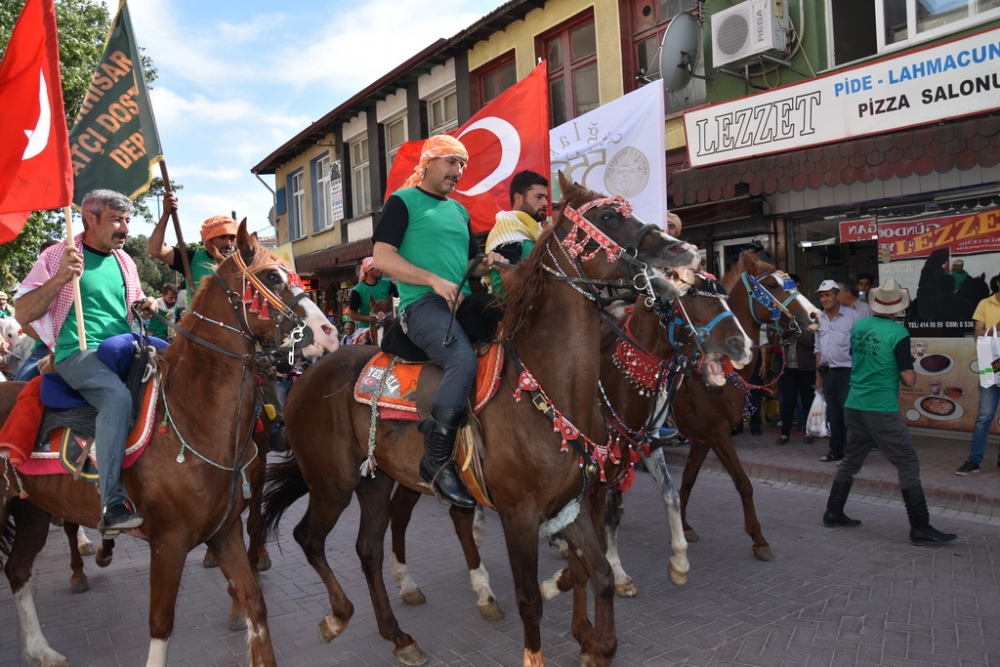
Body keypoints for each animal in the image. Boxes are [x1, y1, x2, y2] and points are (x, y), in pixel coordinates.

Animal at [0, 224, 340, 667]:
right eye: (271, 277)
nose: (331, 332)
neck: (192, 416)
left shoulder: (225, 532)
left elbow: (255, 603)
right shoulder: (168, 543)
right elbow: (161, 624)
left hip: (33, 510)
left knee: (19, 571)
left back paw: (41, 650)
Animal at [262, 177, 700, 667]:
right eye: (608, 216)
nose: (683, 250)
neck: (548, 386)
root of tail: (308, 374)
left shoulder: (568, 504)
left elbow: (599, 572)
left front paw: (596, 644)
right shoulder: (520, 515)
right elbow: (530, 597)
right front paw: (538, 651)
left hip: (374, 481)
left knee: (368, 550)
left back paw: (399, 636)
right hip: (332, 483)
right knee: (308, 538)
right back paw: (338, 617)